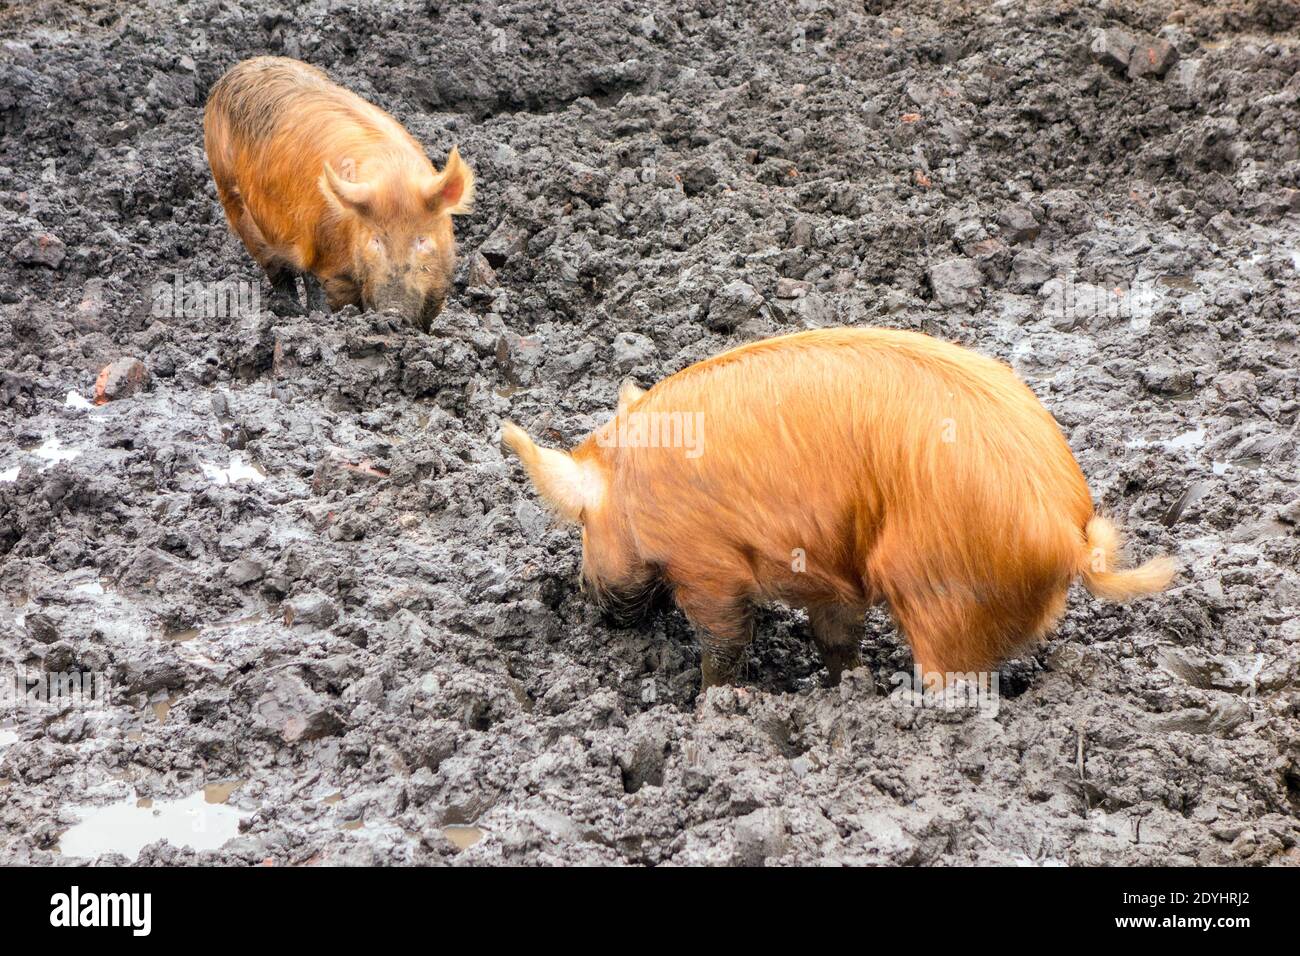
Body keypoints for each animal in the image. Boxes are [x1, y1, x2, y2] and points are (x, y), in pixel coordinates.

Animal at [208, 58, 478, 332]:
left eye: (422, 239)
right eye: (375, 240)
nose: (393, 313)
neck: (394, 177)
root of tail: (238, 68)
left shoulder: (440, 282)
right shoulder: (332, 271)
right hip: (232, 197)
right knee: (278, 270)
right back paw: (292, 310)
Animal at [499, 327, 1180, 686]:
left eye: (581, 526)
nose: (587, 597)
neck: (629, 488)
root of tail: (1069, 536)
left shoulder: (707, 563)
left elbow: (724, 639)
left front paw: (710, 700)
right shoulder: (832, 569)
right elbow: (836, 634)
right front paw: (845, 684)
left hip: (940, 588)